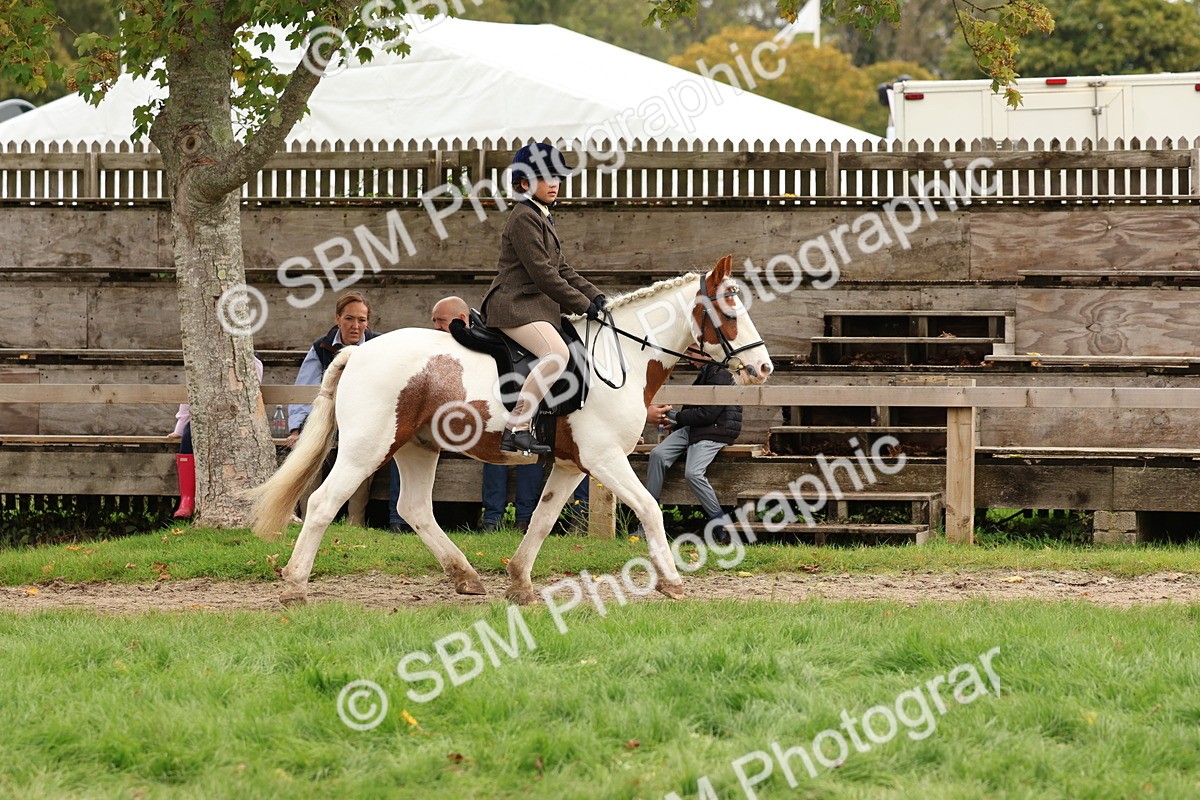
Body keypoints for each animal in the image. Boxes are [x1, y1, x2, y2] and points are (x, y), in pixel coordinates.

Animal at [247, 255, 774, 606]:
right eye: (729, 308)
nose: (764, 367)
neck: (618, 354)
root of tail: (358, 350)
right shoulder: (604, 459)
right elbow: (649, 508)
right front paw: (672, 581)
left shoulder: (571, 465)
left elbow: (541, 519)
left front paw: (520, 583)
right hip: (367, 447)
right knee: (322, 503)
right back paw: (295, 586)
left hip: (416, 447)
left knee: (414, 508)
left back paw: (465, 577)